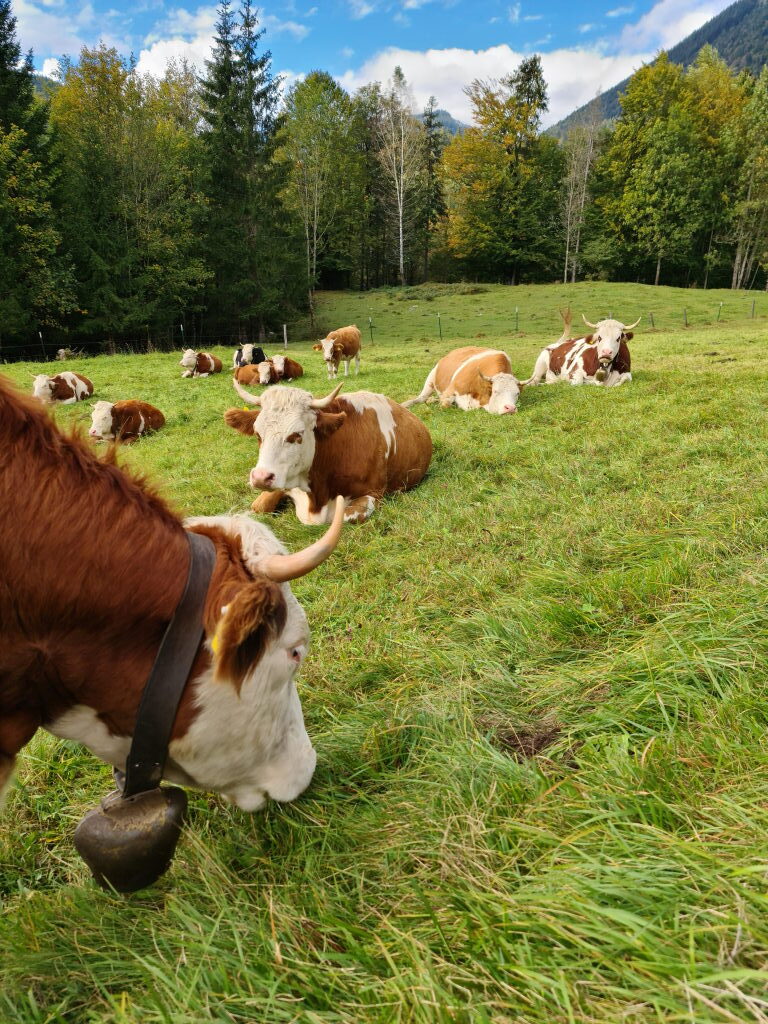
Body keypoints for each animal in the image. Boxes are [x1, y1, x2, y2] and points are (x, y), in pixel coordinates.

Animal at [225, 379, 432, 524]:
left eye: (297, 434)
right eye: (258, 434)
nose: (260, 477)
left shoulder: (374, 493)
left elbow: (344, 517)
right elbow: (258, 506)